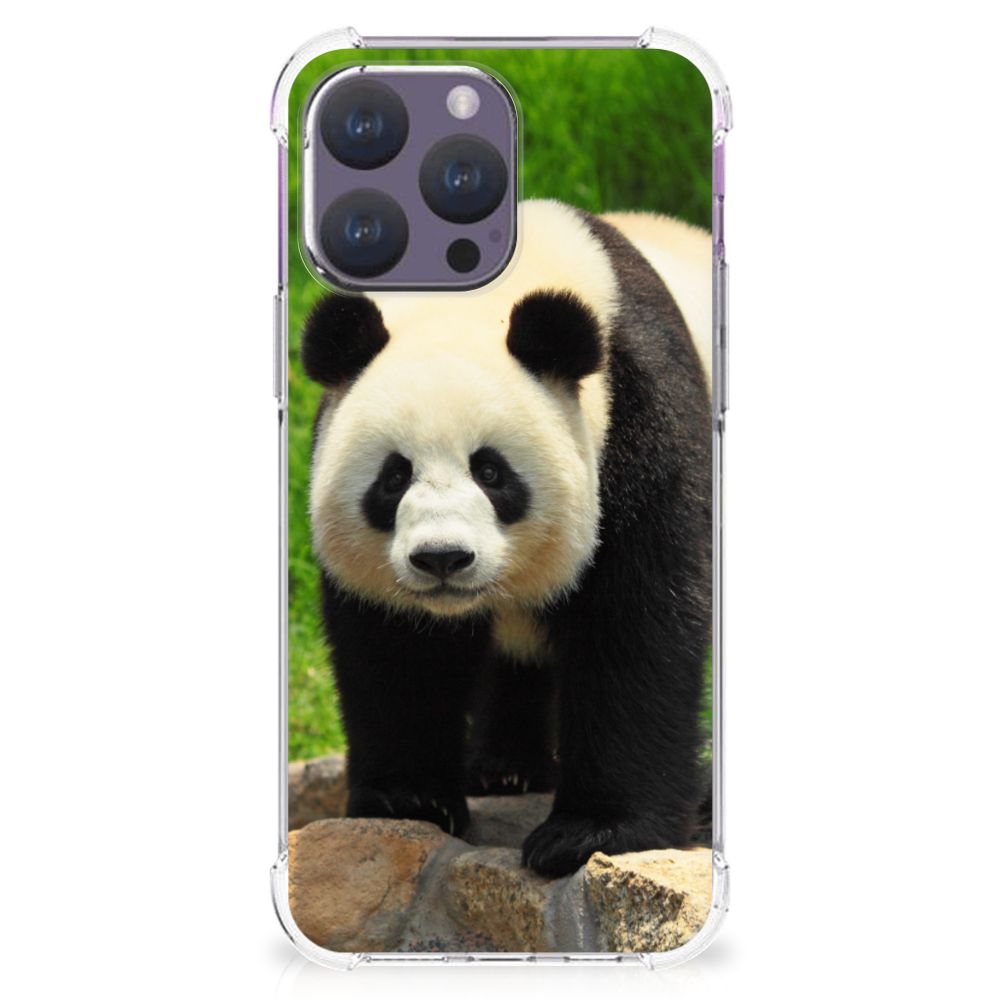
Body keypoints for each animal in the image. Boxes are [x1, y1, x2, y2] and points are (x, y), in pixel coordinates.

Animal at [301, 199, 713, 878]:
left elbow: (638, 624)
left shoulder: (642, 422)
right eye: (393, 477)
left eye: (491, 472)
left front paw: (590, 833)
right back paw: (505, 769)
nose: (442, 559)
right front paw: (408, 799)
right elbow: (397, 649)